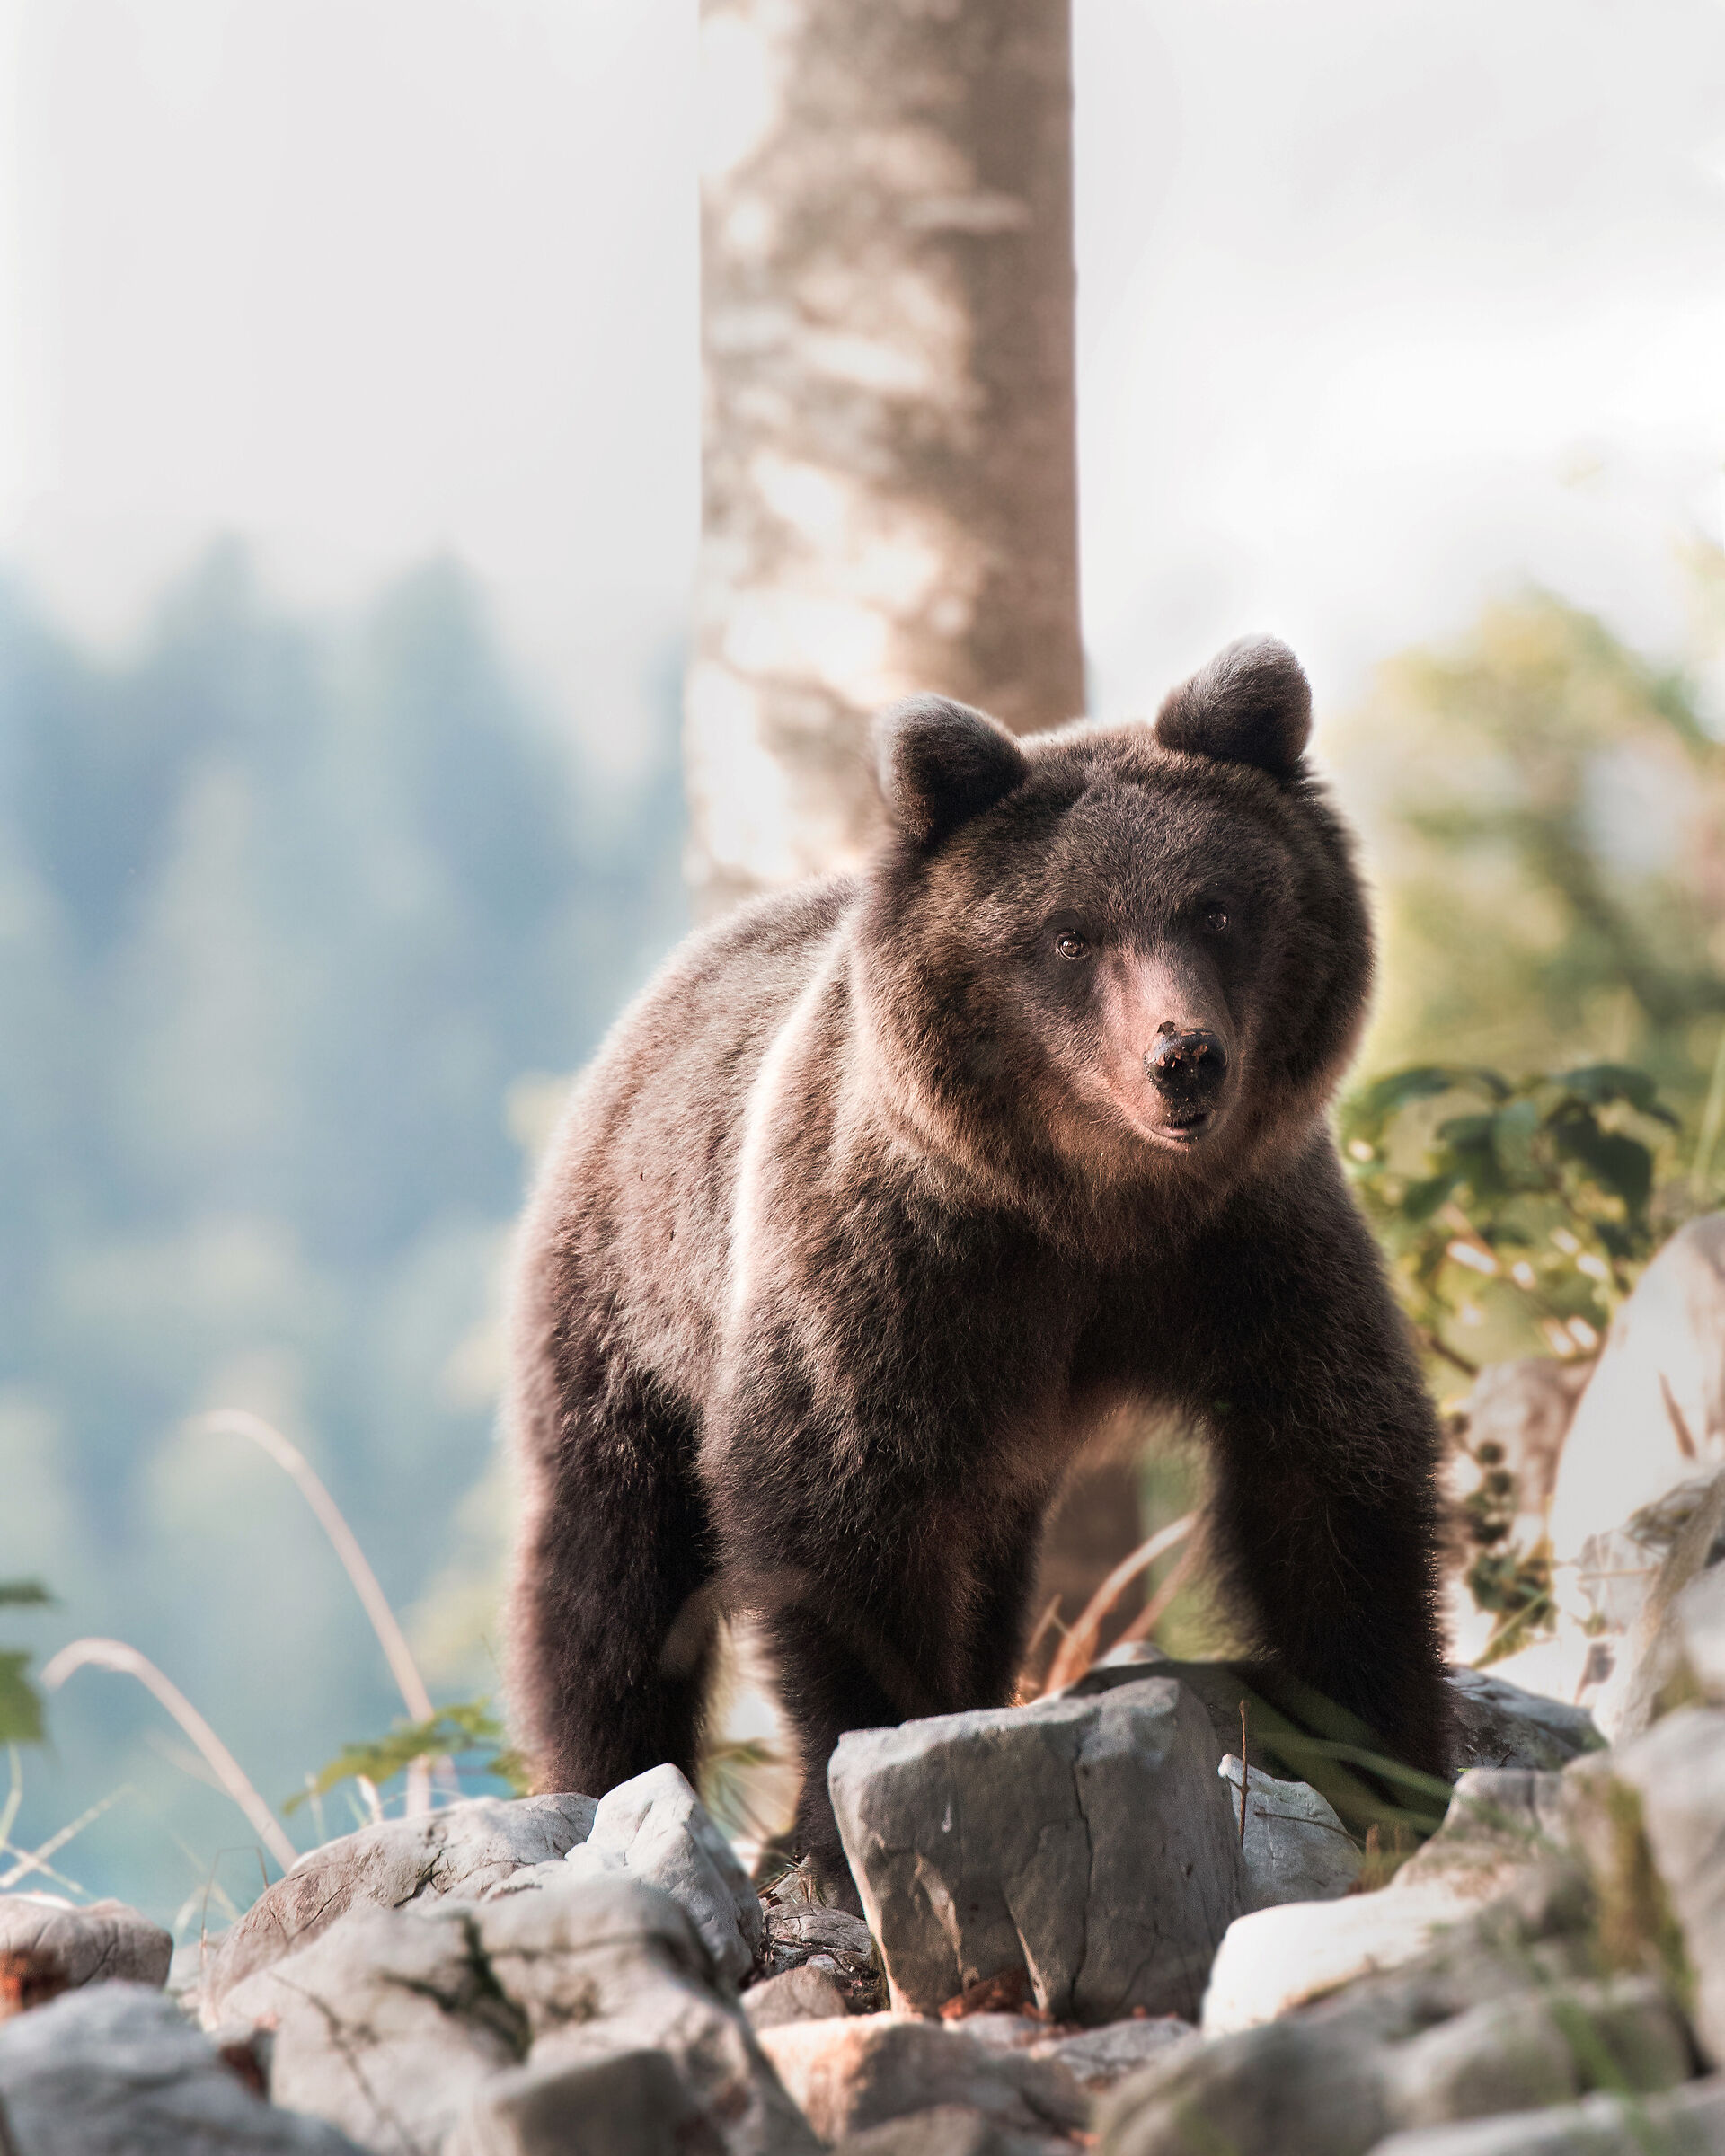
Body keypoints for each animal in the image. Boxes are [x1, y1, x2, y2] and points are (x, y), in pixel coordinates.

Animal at [506, 635, 1451, 1902]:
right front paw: (844, 1816)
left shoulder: (1246, 1252)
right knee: (609, 1565)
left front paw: (1393, 1765)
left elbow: (1330, 1477)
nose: (1184, 1057)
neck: (1091, 1209)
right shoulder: (896, 1275)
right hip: (629, 1298)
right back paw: (600, 1774)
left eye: (1217, 906)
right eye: (1070, 932)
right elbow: (836, 1521)